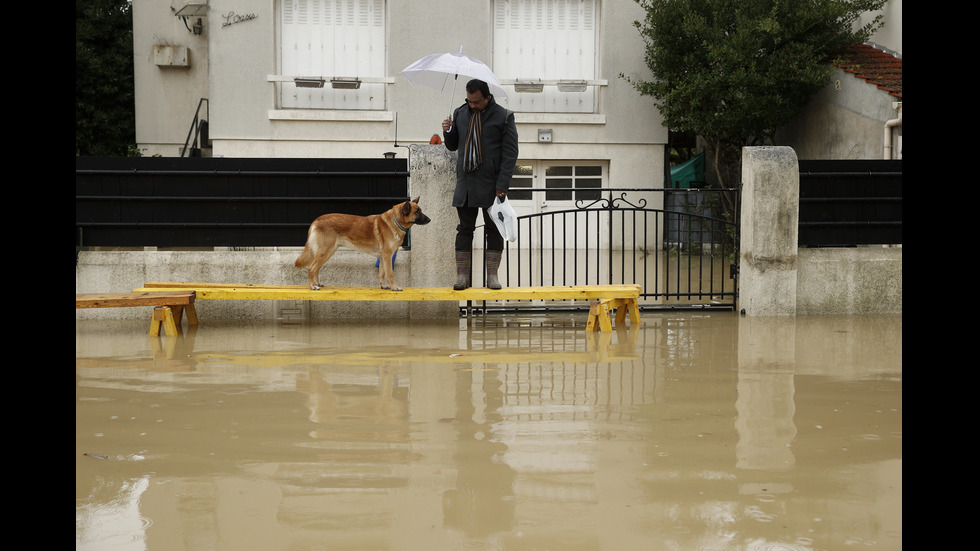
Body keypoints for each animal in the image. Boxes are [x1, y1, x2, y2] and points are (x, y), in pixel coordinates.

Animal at [290, 199, 428, 294]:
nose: (430, 219)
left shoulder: (383, 257)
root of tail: (316, 220)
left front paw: (383, 286)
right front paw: (395, 287)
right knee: (311, 269)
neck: (395, 221)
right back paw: (312, 286)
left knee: (316, 269)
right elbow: (390, 274)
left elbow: (381, 273)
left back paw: (317, 283)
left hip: (327, 253)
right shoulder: (388, 256)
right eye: (417, 212)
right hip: (325, 252)